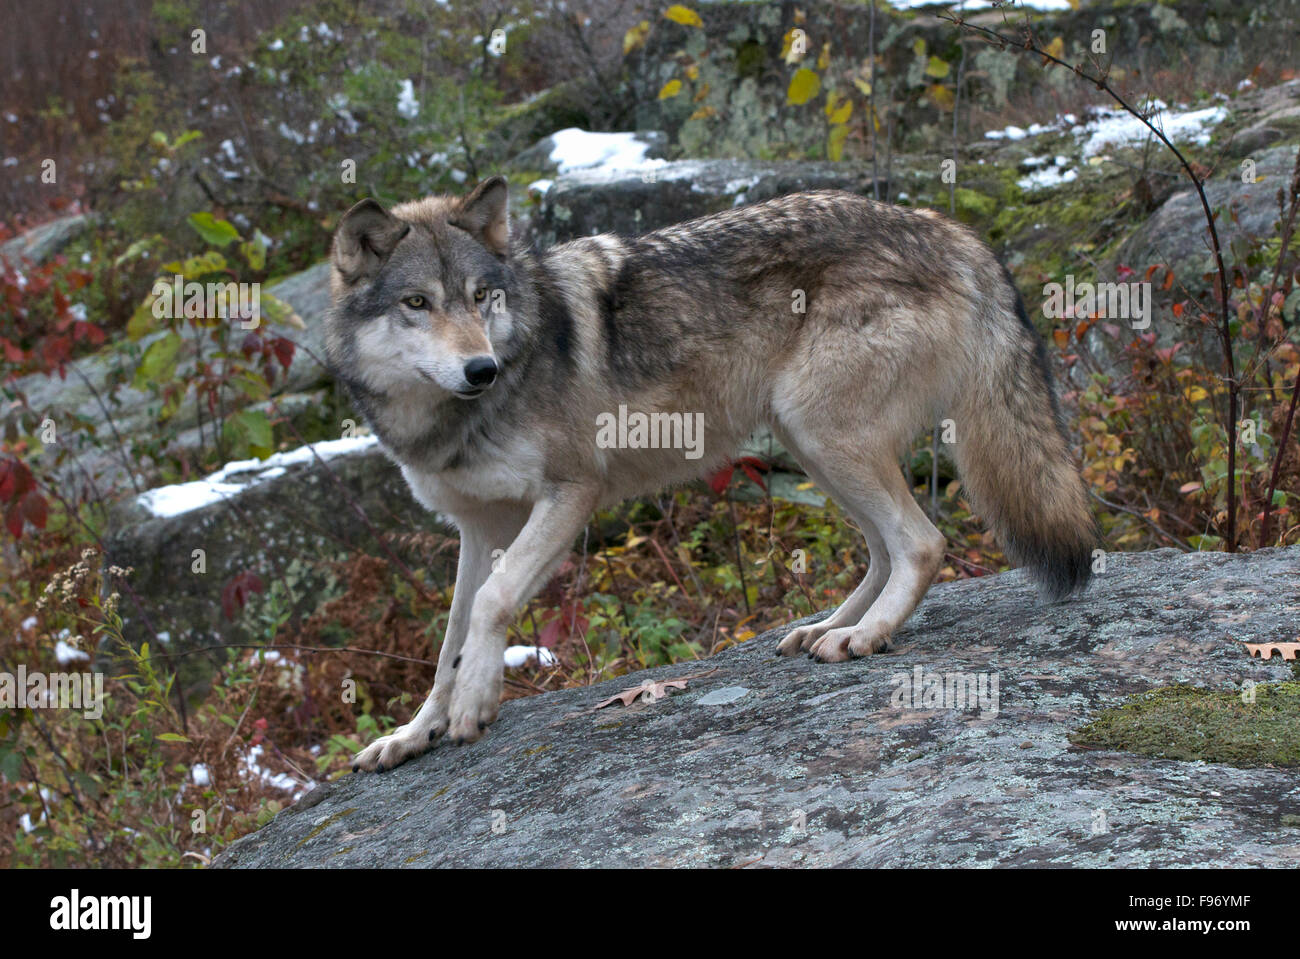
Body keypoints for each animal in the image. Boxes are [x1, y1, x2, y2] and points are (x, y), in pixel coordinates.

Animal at [324, 176, 1096, 772]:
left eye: (483, 295)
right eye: (417, 303)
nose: (480, 368)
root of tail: (952, 230)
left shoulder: (570, 492)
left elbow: (490, 604)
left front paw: (476, 703)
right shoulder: (478, 529)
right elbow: (446, 644)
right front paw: (412, 732)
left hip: (824, 435)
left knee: (924, 543)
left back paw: (864, 636)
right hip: (809, 443)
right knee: (884, 549)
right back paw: (829, 627)